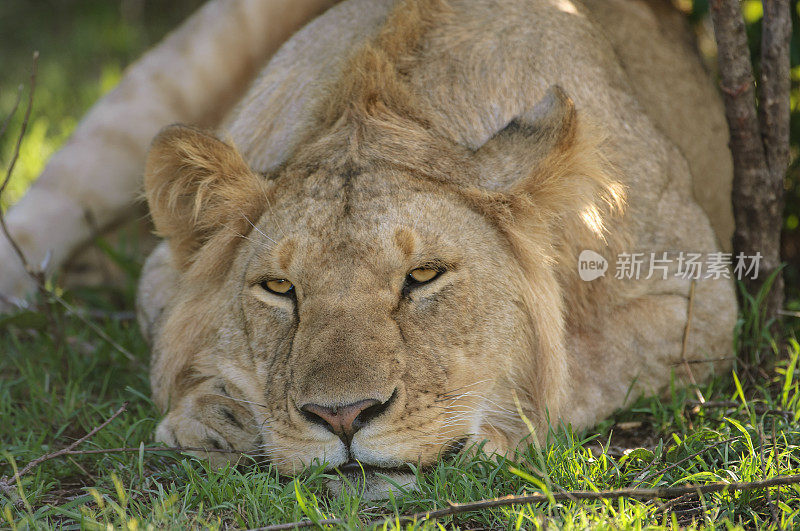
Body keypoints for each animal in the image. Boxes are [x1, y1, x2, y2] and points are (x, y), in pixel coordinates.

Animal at [1, 1, 736, 498]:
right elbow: (166, 344)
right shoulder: (161, 273)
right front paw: (212, 418)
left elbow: (585, 369)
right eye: (279, 288)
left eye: (424, 276)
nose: (343, 417)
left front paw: (495, 433)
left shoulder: (695, 295)